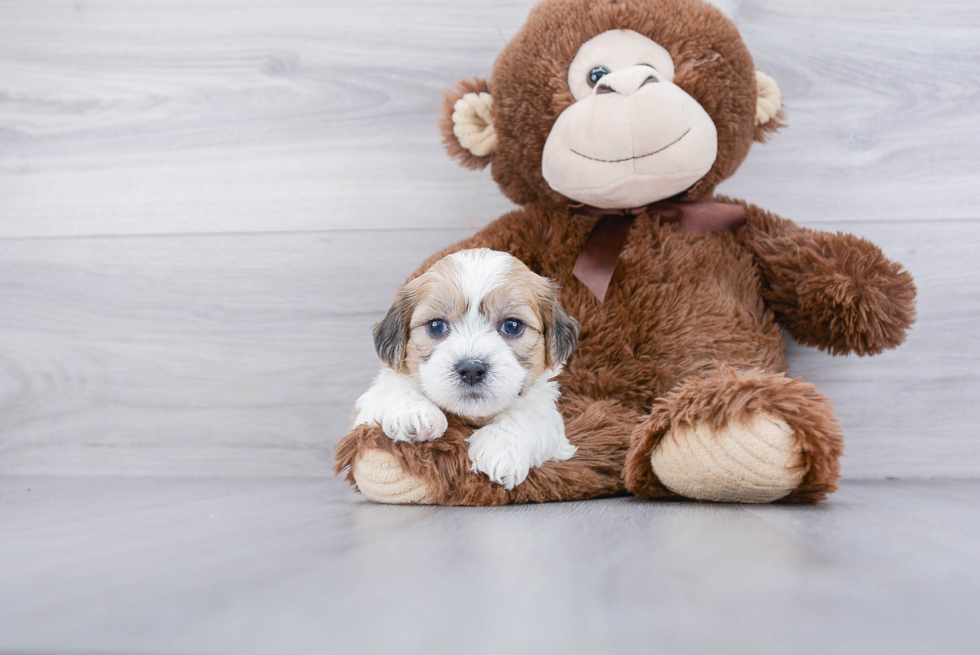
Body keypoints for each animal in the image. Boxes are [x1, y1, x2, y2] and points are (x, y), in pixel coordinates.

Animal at [354, 249, 580, 490]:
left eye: (512, 325)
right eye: (436, 325)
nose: (471, 369)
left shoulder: (549, 415)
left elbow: (530, 415)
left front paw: (500, 447)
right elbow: (392, 388)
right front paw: (413, 411)